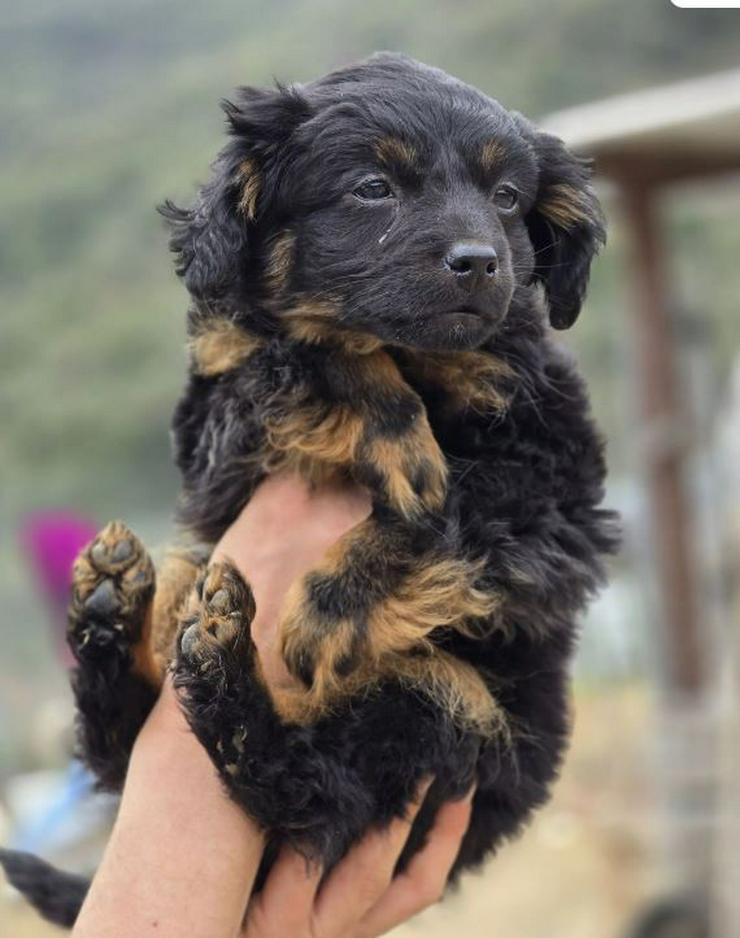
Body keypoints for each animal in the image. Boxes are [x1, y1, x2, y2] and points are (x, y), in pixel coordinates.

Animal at [0, 54, 620, 924]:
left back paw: (199, 668)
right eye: (372, 188)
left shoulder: (558, 478)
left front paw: (334, 606)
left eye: (506, 198)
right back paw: (114, 624)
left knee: (309, 788)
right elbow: (310, 344)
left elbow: (455, 507)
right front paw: (392, 427)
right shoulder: (213, 430)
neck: (422, 362)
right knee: (150, 754)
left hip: (453, 718)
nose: (479, 262)